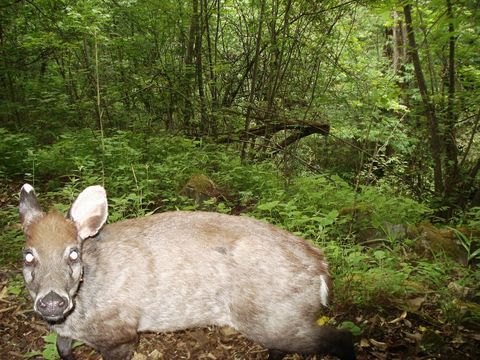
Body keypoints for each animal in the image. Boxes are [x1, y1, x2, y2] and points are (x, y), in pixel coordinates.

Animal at [19, 184, 356, 358]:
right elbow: (63, 352)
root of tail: (321, 267)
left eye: (73, 252)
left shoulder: (120, 334)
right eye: (28, 255)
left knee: (342, 338)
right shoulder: (66, 336)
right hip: (279, 320)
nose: (52, 301)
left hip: (278, 316)